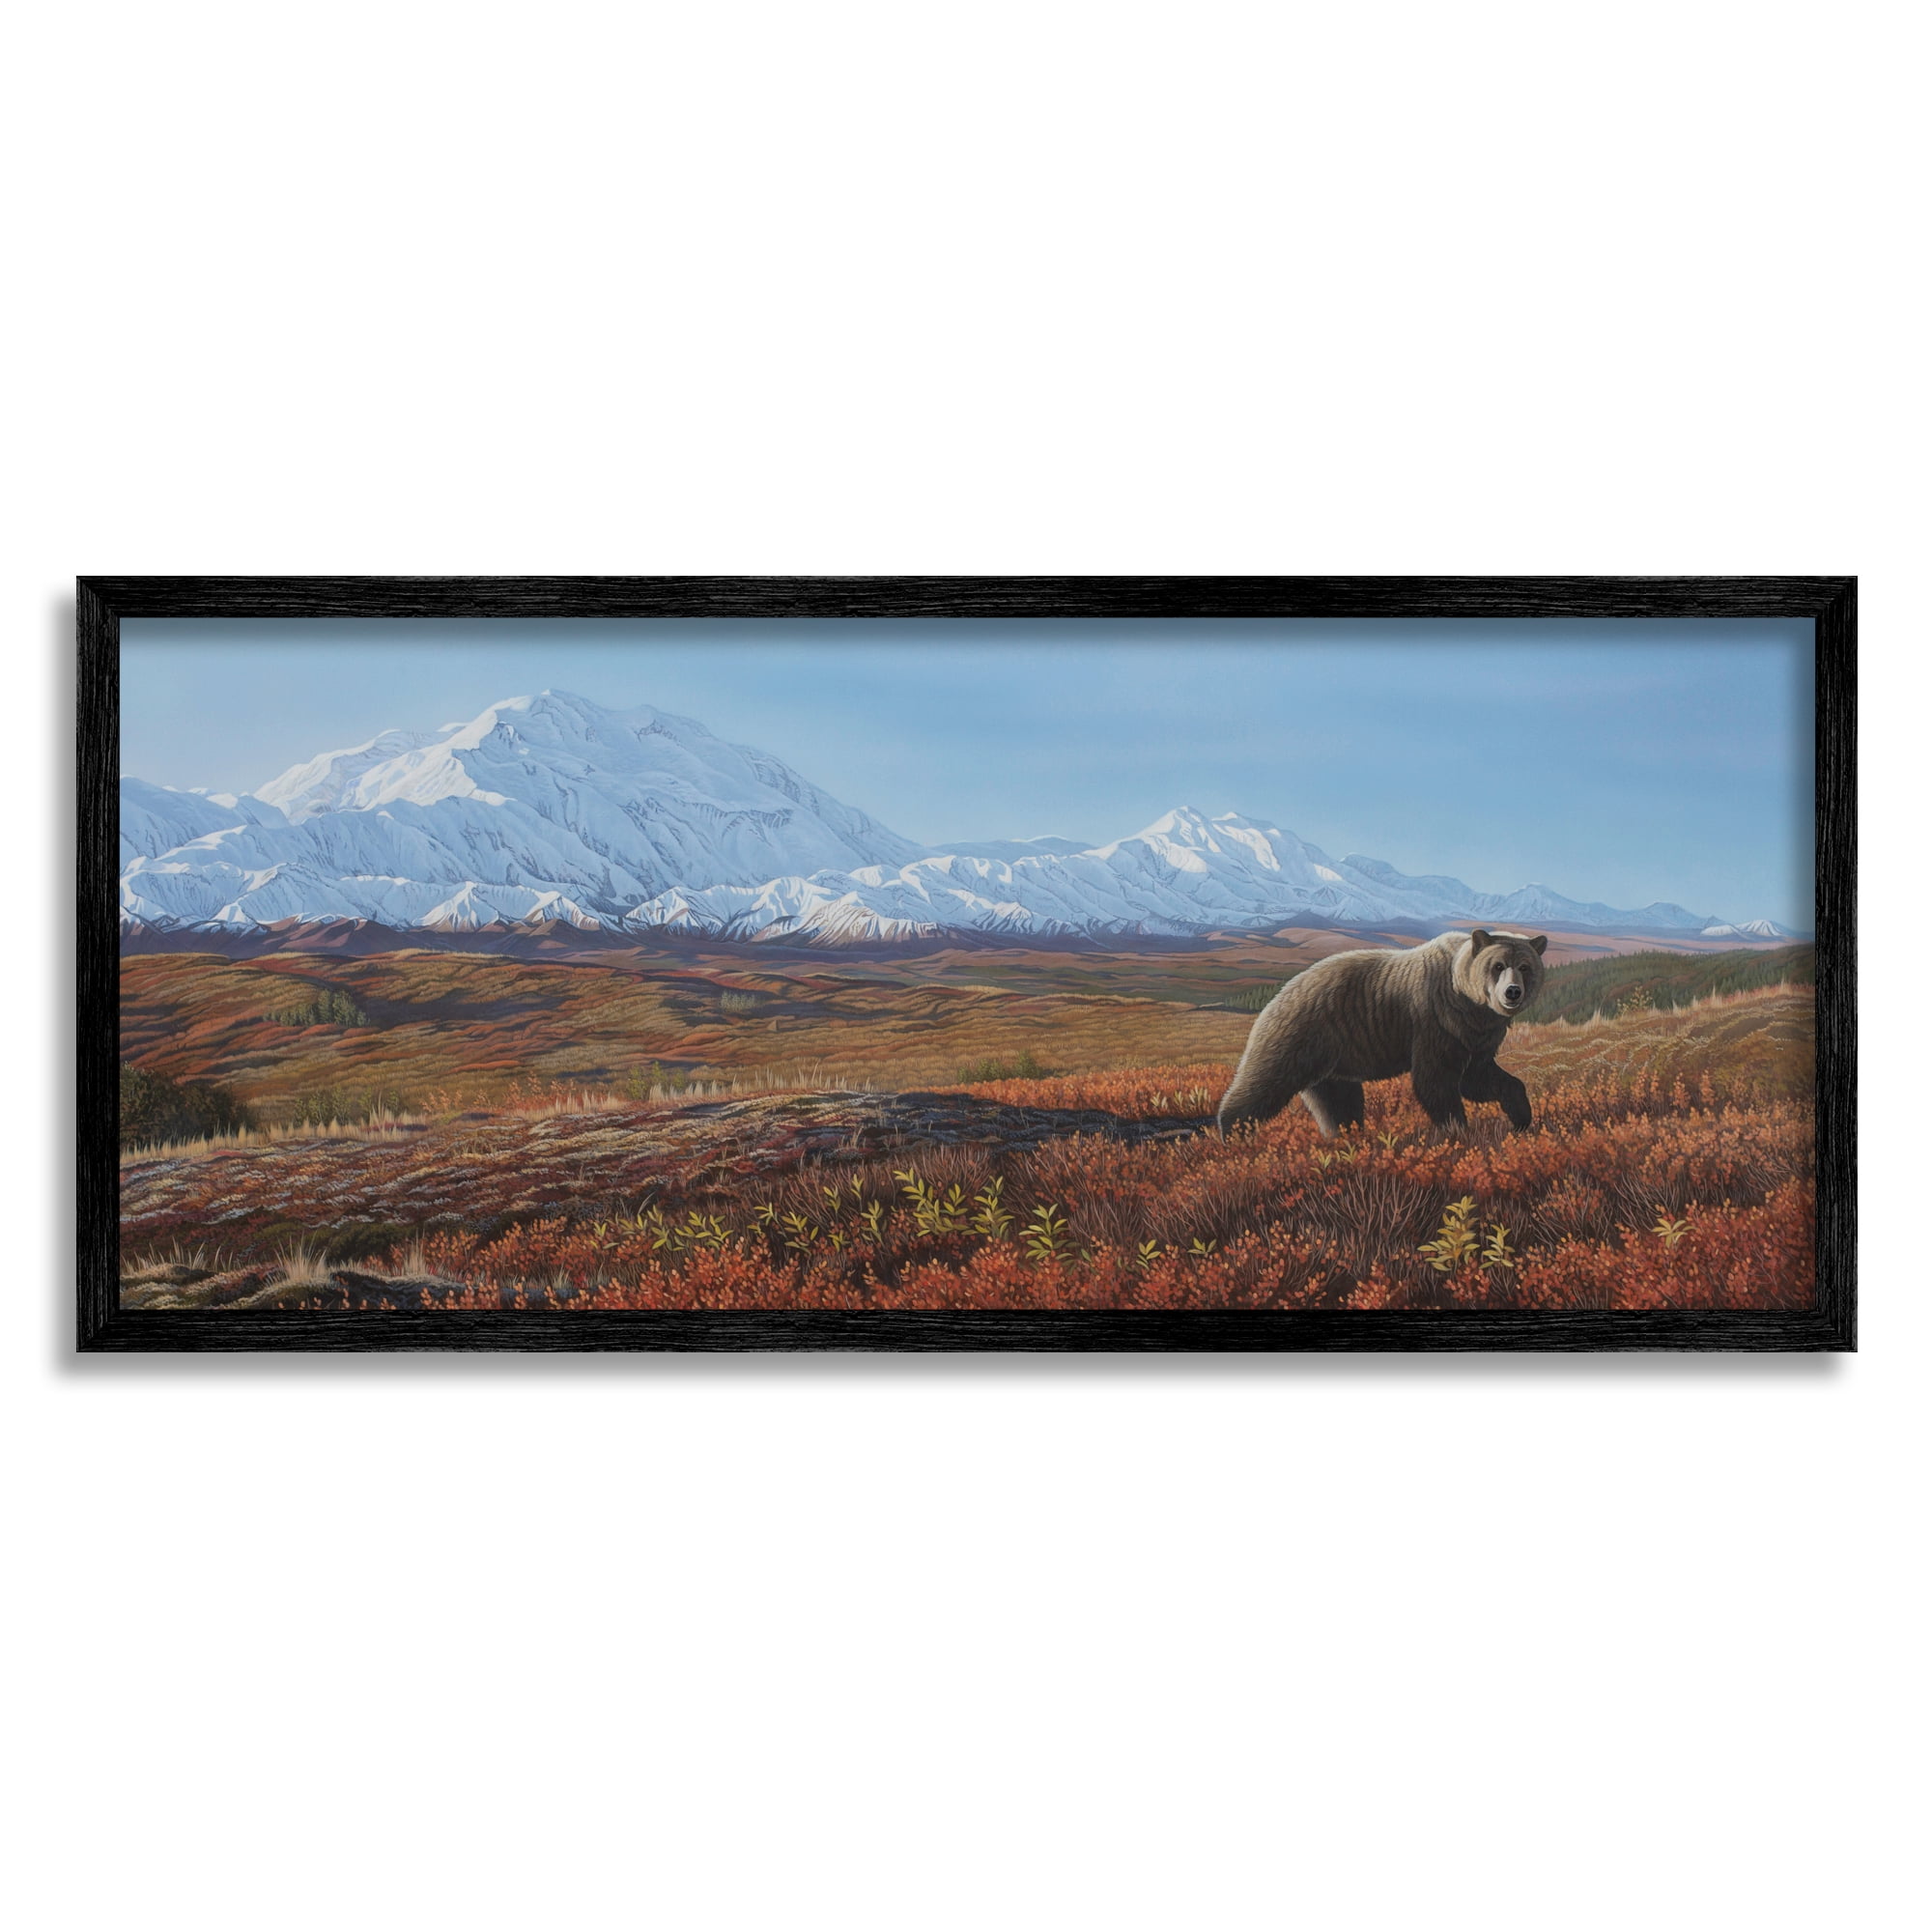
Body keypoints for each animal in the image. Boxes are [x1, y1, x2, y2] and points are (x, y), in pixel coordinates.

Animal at [1216, 928, 1548, 1138]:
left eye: (1525, 966)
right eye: (1498, 965)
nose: (1512, 992)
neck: (1467, 999)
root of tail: (1281, 992)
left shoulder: (1474, 1035)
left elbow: (1481, 1078)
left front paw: (1521, 1119)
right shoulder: (1436, 1020)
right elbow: (1436, 1080)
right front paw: (1457, 1130)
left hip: (1335, 1058)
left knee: (1337, 1102)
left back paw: (1345, 1136)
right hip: (1300, 1032)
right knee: (1265, 1081)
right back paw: (1233, 1134)